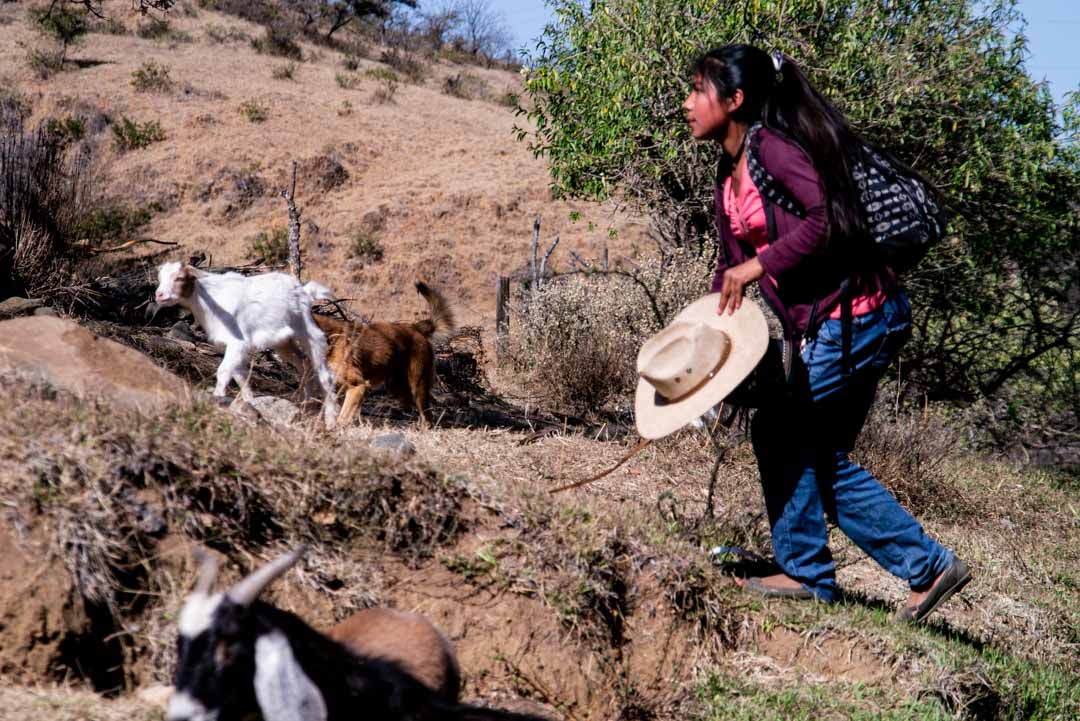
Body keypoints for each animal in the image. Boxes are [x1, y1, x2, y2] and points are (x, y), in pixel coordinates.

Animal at [155, 262, 336, 425]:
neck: (212, 301)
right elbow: (240, 377)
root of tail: (304, 291)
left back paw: (330, 420)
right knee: (304, 364)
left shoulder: (238, 343)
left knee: (325, 374)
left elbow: (223, 371)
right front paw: (251, 406)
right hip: (283, 342)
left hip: (308, 331)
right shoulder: (232, 348)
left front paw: (217, 399)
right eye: (160, 277)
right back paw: (307, 407)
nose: (159, 295)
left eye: (179, 278)